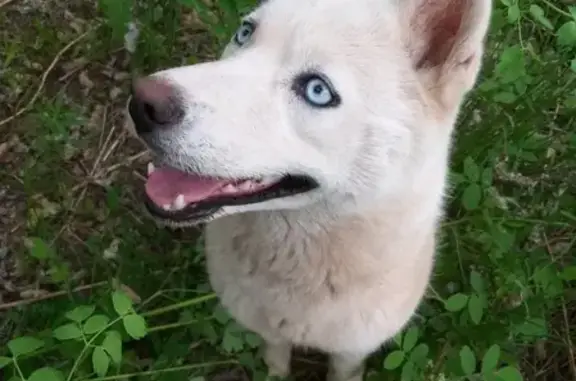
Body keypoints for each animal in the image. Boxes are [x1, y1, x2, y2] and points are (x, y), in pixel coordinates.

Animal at [126, 0, 490, 378]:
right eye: (245, 33)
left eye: (318, 90)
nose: (141, 103)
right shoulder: (269, 332)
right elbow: (275, 361)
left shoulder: (352, 348)